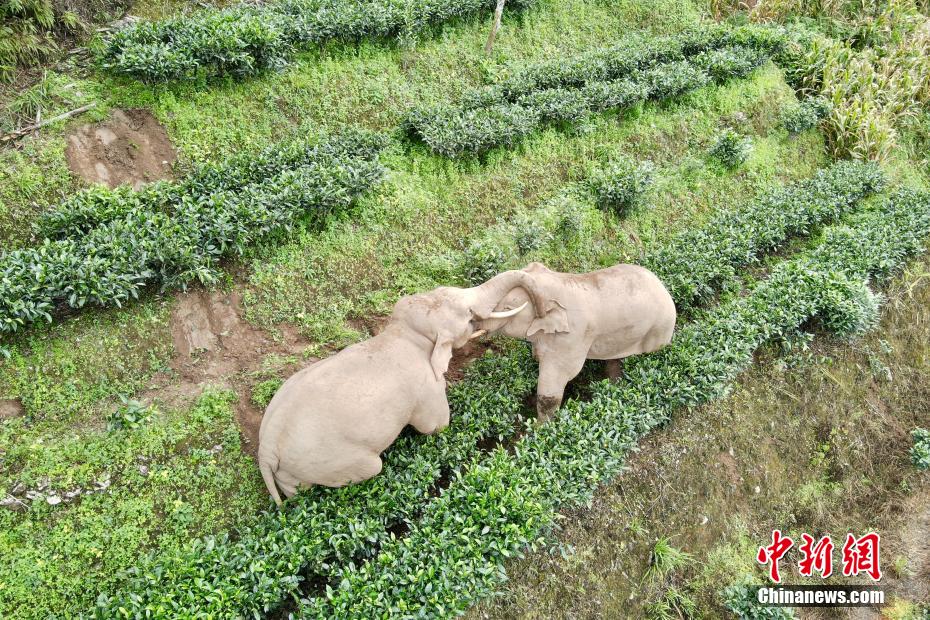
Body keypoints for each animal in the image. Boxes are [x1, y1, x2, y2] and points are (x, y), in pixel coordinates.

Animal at [256, 268, 544, 506]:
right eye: (468, 316)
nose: (537, 309)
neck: (405, 332)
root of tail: (265, 450)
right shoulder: (426, 386)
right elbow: (436, 426)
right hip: (328, 461)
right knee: (371, 467)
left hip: (289, 469)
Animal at [474, 262, 672, 422]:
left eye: (508, 308)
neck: (560, 281)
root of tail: (664, 289)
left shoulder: (572, 337)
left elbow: (554, 383)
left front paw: (539, 431)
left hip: (659, 331)